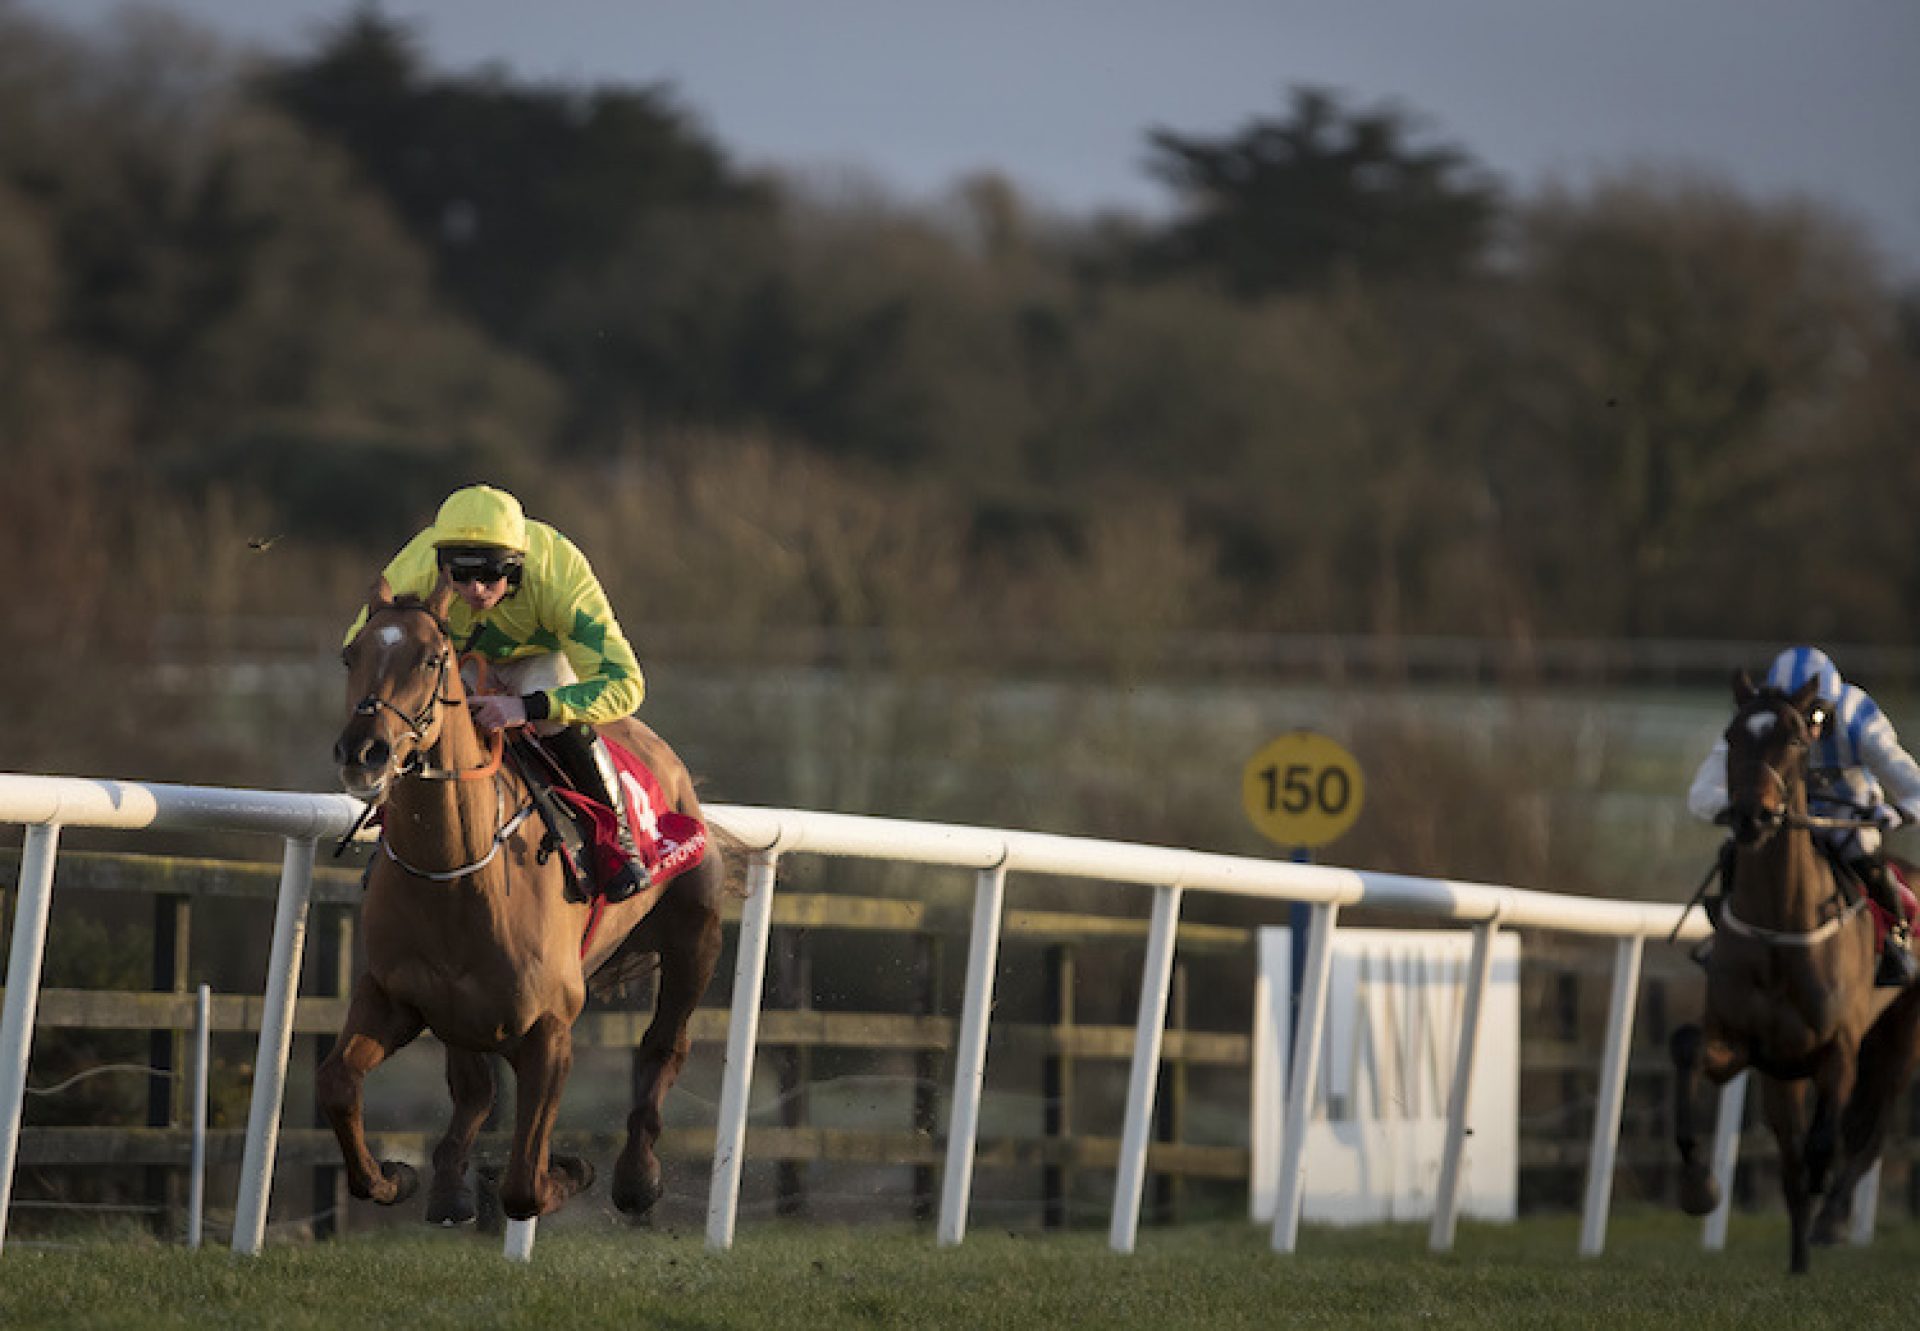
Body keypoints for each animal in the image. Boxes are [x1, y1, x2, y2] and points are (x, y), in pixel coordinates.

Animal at [318, 580, 721, 1221]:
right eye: (349, 655)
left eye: (431, 659)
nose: (363, 752)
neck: (455, 874)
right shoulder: (393, 996)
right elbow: (336, 1082)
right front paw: (392, 1178)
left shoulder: (550, 1029)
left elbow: (524, 1186)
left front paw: (572, 1169)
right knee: (473, 1086)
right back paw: (449, 1185)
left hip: (694, 938)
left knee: (664, 1045)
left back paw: (637, 1176)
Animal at [1666, 668, 1904, 1275]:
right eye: (1731, 735)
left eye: (1796, 738)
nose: (1753, 816)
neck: (1781, 926)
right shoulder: (1750, 1047)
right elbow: (1685, 1046)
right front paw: (1698, 1183)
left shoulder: (1839, 1047)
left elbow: (1824, 1143)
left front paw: (1824, 1194)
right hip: (1783, 1075)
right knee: (1798, 1154)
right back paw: (1799, 1258)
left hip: (1902, 1034)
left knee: (1871, 1131)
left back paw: (1832, 1219)